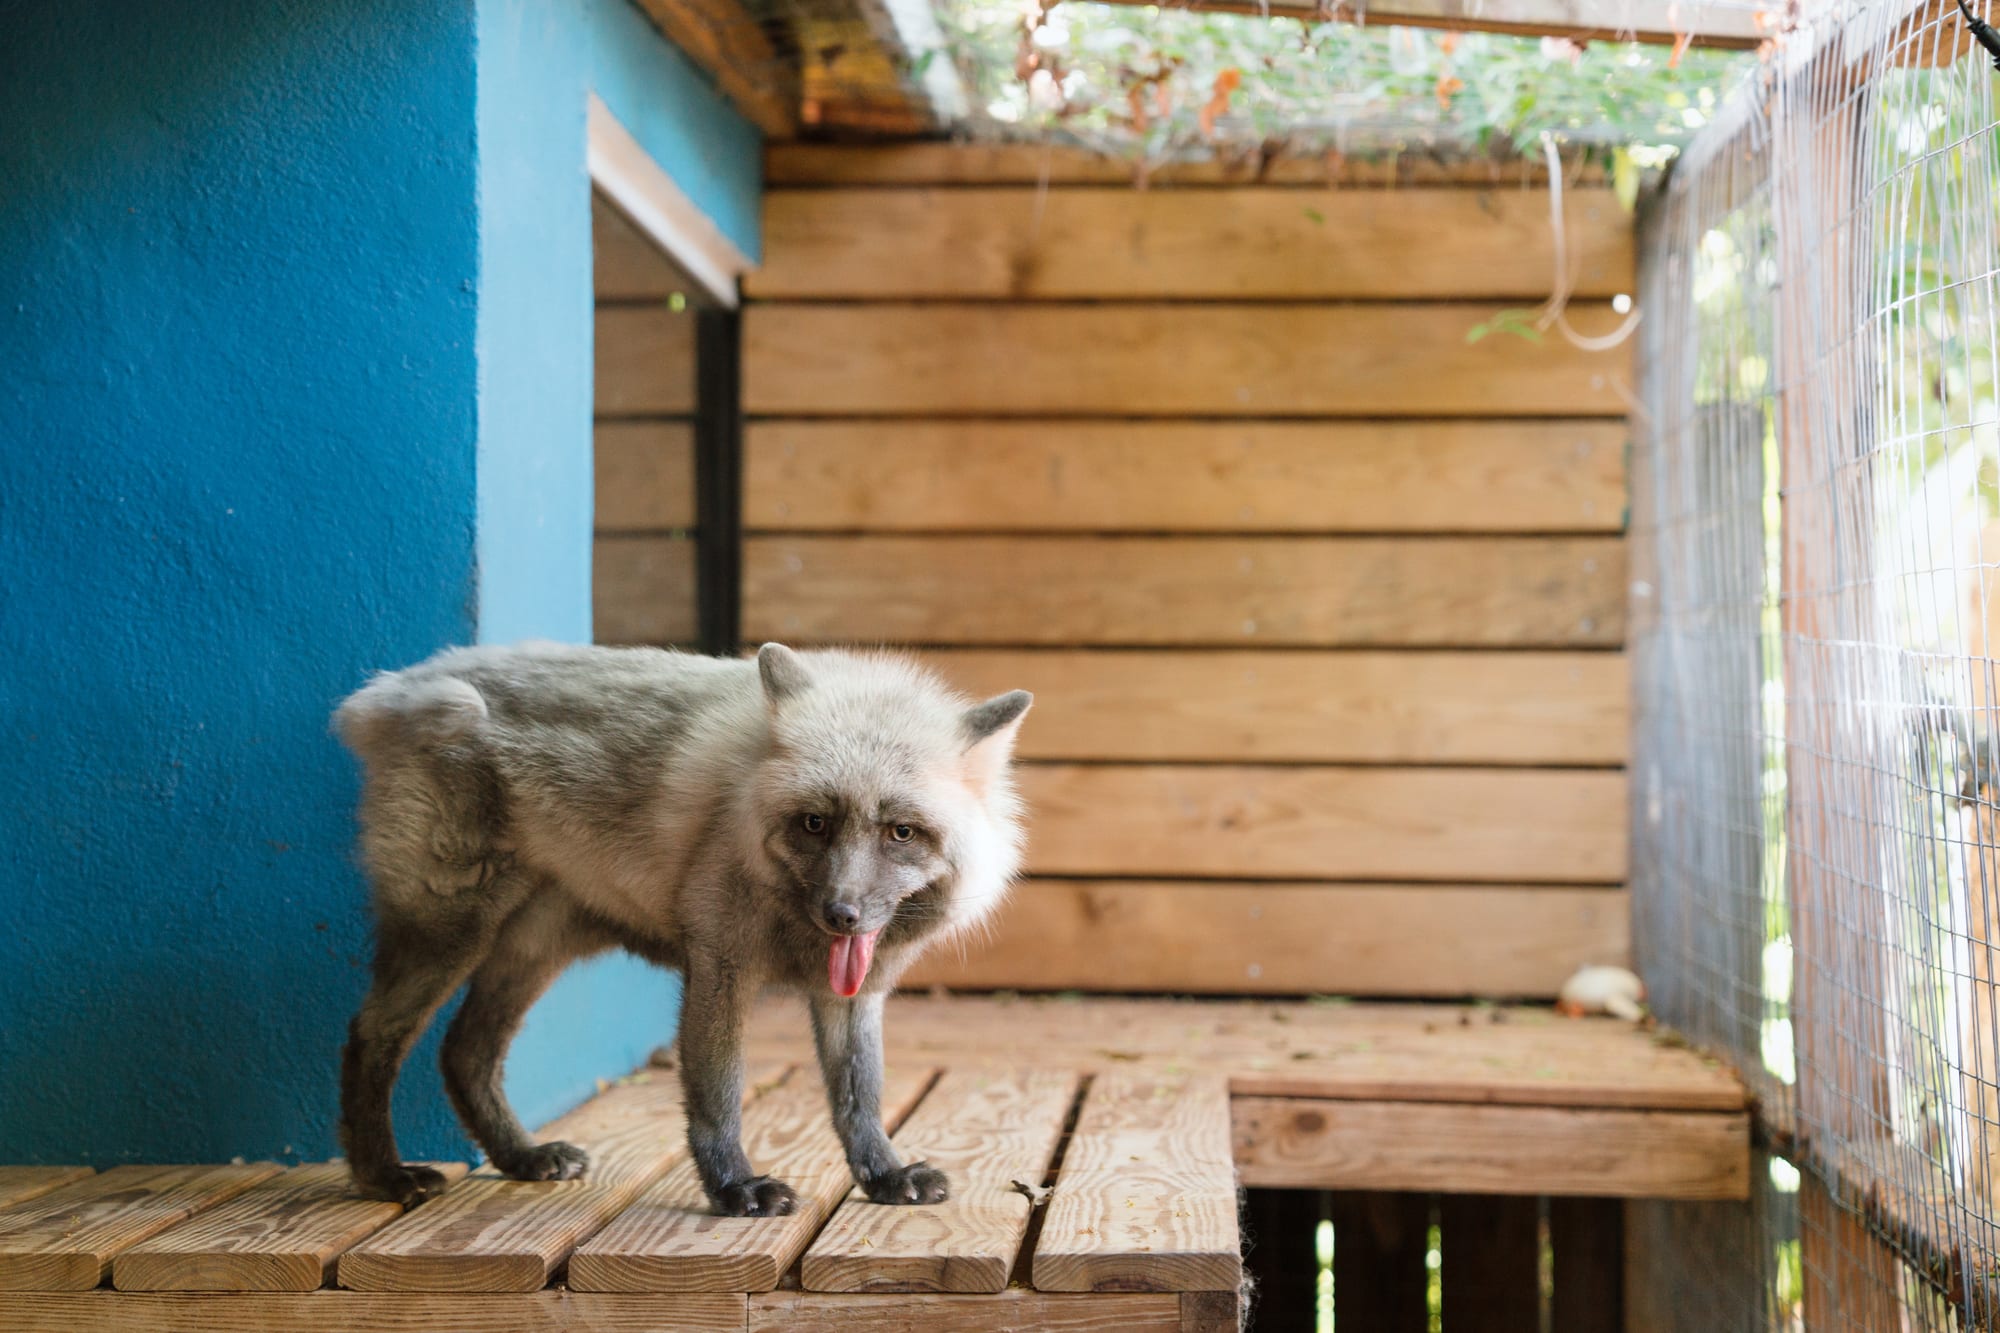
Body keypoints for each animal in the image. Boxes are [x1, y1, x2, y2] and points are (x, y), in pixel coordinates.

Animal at [331, 640, 1030, 1215]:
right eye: (814, 823)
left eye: (901, 832)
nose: (842, 913)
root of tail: (403, 684)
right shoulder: (720, 965)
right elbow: (718, 1096)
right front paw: (734, 1189)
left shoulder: (852, 992)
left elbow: (860, 1096)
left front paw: (883, 1176)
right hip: (449, 933)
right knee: (372, 1035)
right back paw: (383, 1176)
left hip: (532, 952)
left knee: (464, 1051)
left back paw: (521, 1158)